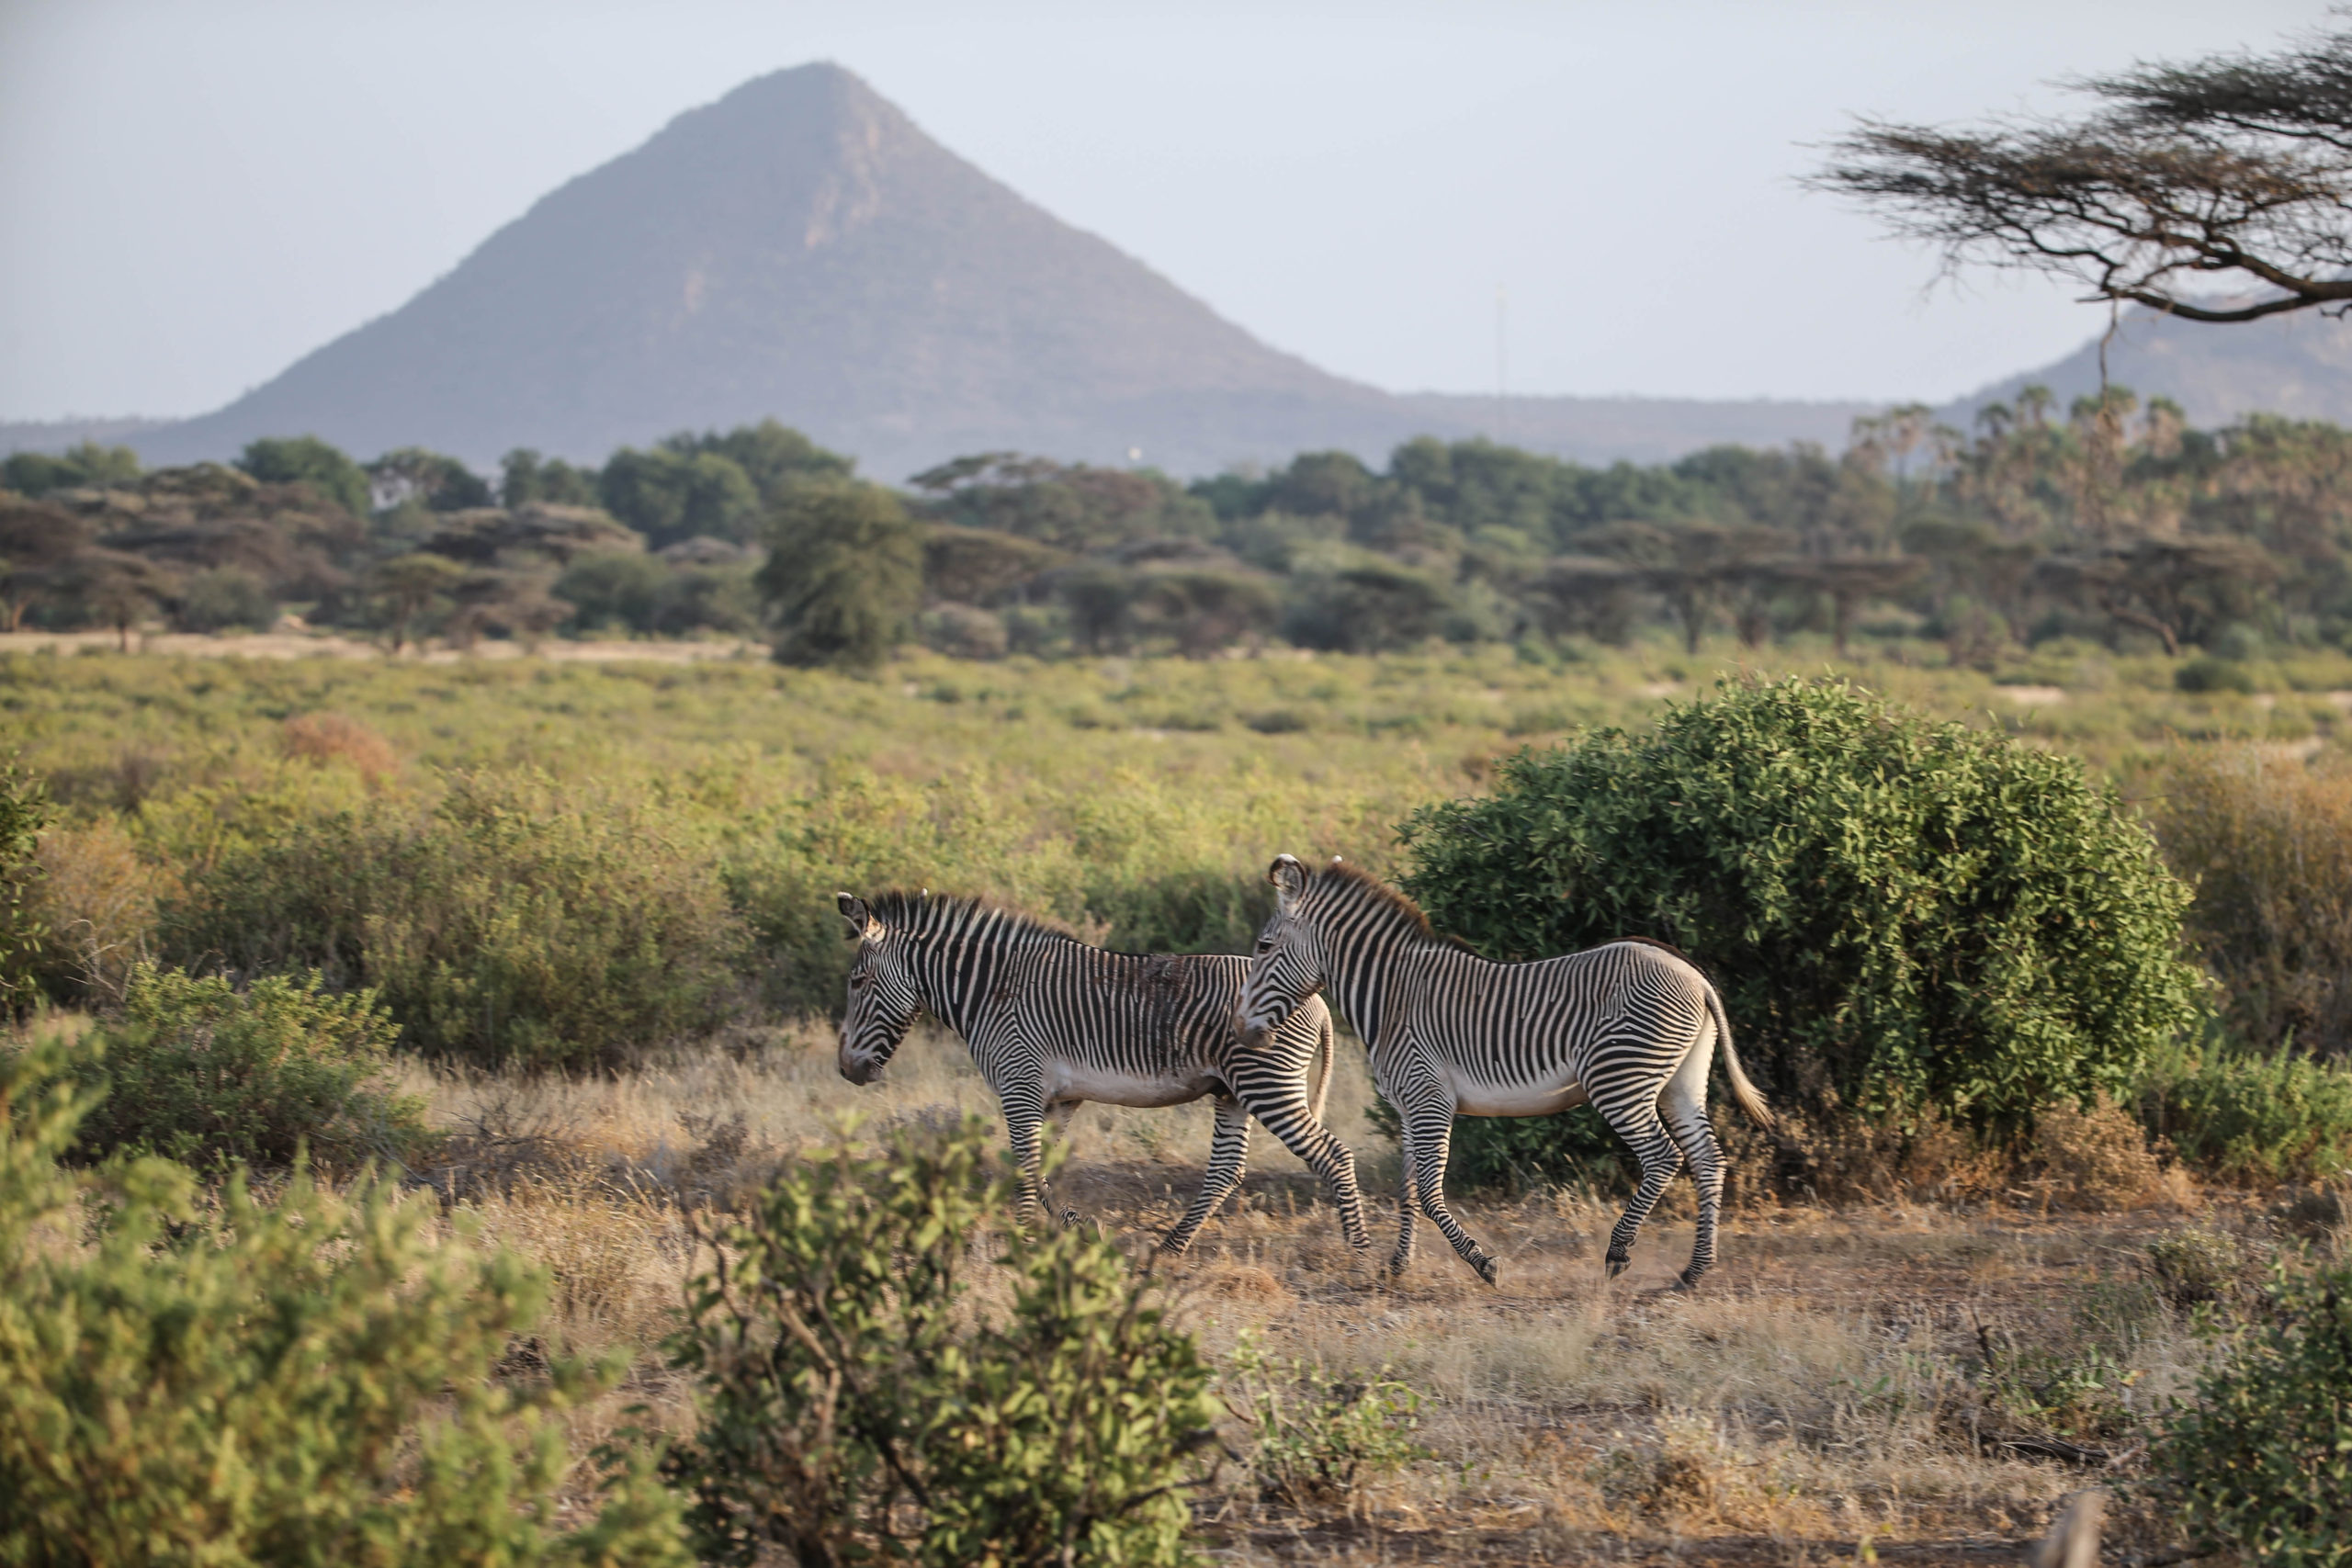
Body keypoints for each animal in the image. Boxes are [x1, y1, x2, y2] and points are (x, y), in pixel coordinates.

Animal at [832, 888, 1374, 1259]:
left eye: (857, 981)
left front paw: (1021, 1240)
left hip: (1268, 1085)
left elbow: (1023, 1166)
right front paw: (1076, 1229)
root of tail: (1319, 1003)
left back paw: (1361, 1253)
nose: (845, 1070)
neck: (992, 992)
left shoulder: (1019, 1083)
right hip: (1233, 1092)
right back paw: (1170, 1249)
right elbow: (1041, 1167)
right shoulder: (1058, 1097)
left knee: (1334, 1154)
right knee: (1226, 1170)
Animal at [1241, 860, 1769, 1288]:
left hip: (1620, 1078)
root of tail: (1695, 977)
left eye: (1264, 946)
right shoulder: (1409, 1107)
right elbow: (1407, 1188)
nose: (1242, 1032)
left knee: (1663, 1157)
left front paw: (1482, 1264)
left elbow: (1429, 1191)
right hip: (1681, 1082)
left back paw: (1619, 1253)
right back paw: (1694, 1272)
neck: (1391, 999)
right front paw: (1396, 1267)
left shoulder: (1429, 1096)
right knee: (1708, 1159)